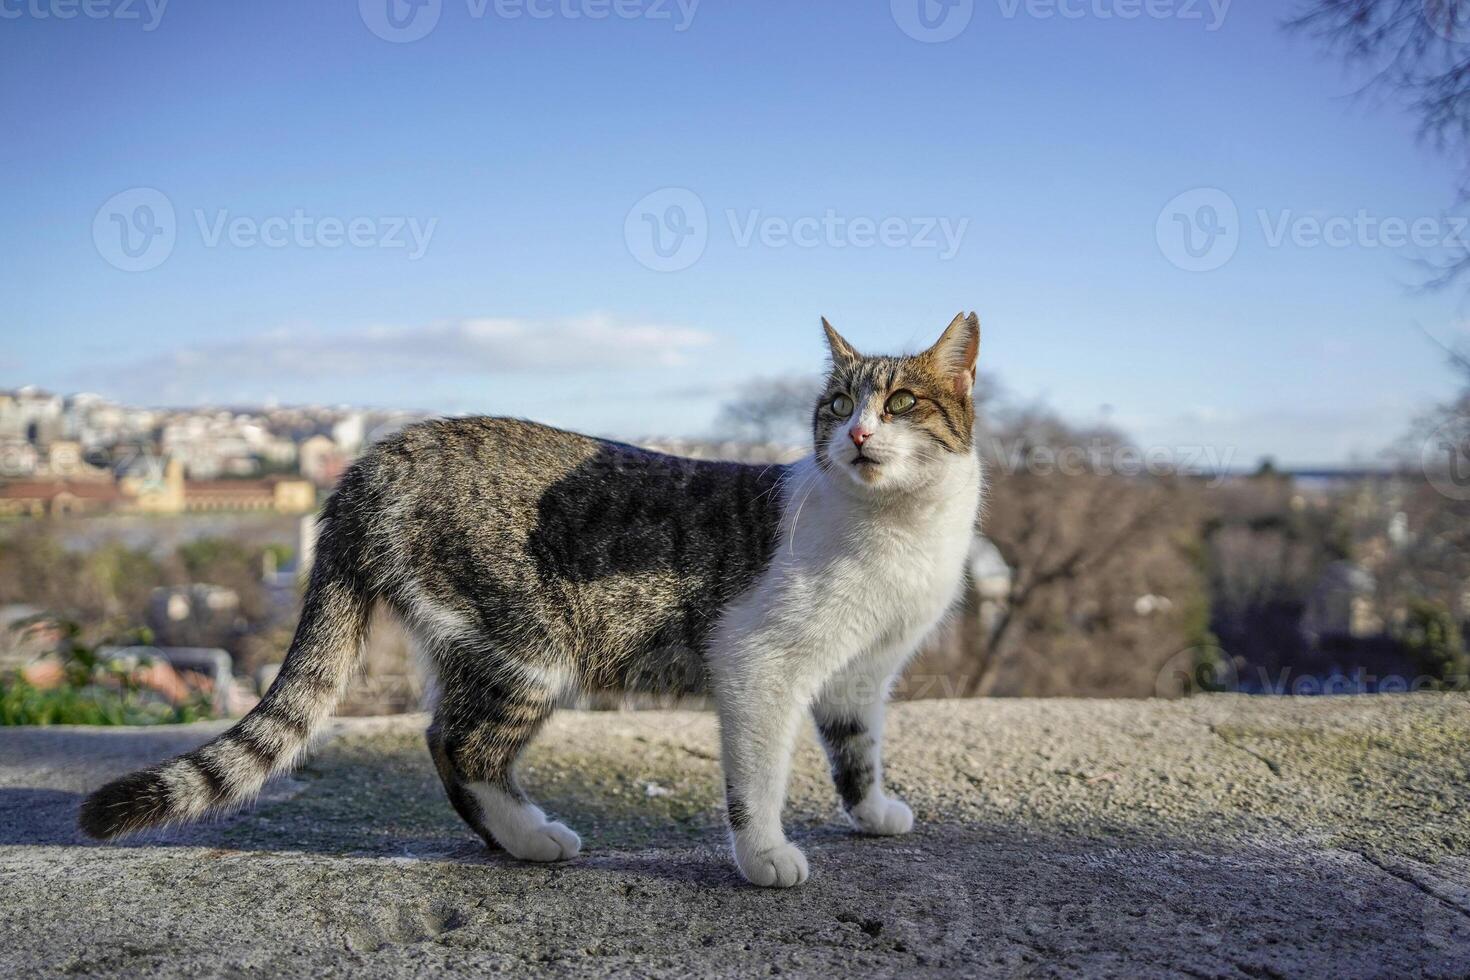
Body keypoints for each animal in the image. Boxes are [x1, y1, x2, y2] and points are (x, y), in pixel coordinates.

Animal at [74, 312, 981, 887]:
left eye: (901, 403)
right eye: (836, 405)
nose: (857, 435)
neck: (897, 532)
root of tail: (379, 456)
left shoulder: (862, 674)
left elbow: (858, 749)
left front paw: (873, 813)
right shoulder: (760, 666)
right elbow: (757, 782)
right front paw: (764, 859)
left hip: (479, 644)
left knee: (447, 739)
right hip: (530, 648)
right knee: (460, 744)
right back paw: (533, 837)